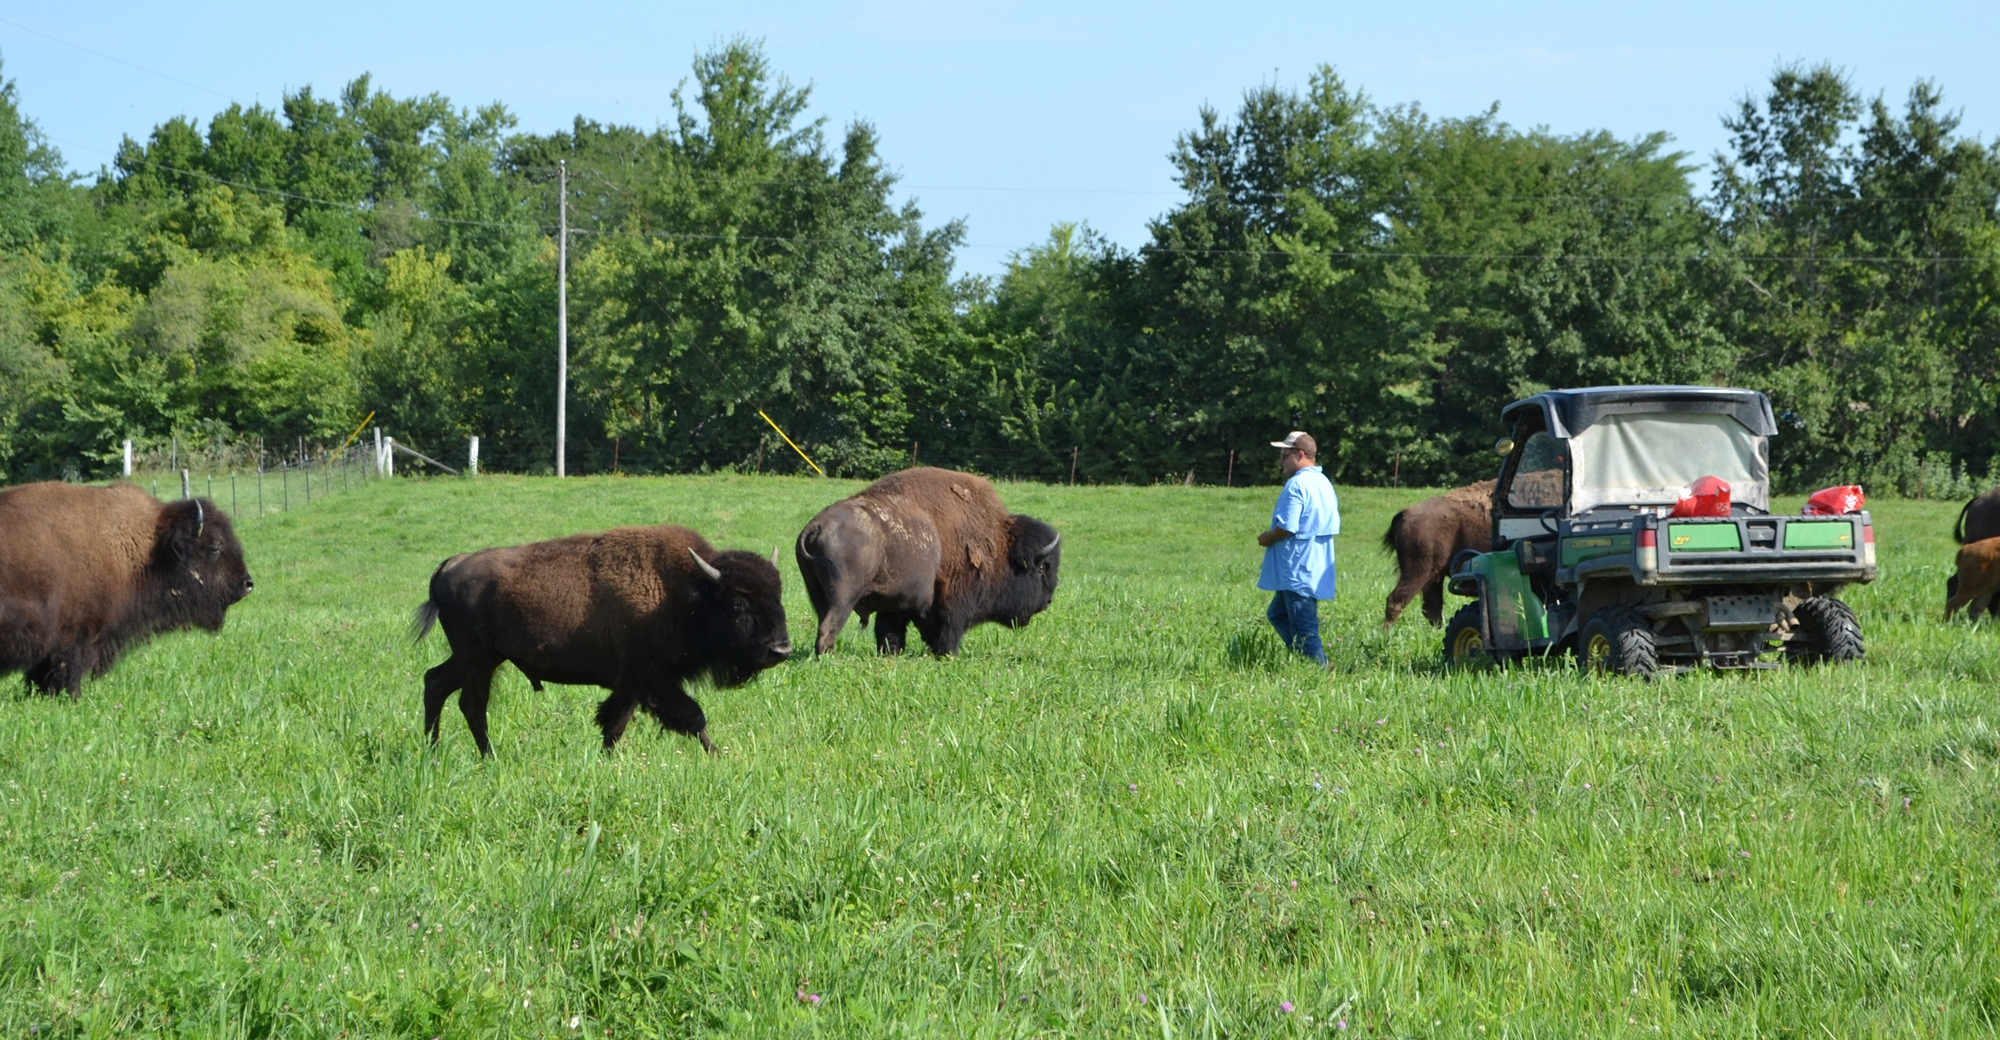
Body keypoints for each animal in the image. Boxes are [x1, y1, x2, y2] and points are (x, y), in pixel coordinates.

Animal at [412, 524, 791, 756]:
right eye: (739, 602)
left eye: (778, 595)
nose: (781, 649)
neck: (683, 592)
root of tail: (449, 565)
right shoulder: (652, 677)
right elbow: (693, 716)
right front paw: (718, 757)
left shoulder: (631, 684)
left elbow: (615, 723)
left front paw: (606, 761)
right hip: (478, 659)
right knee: (472, 704)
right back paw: (490, 757)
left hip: (478, 658)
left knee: (435, 683)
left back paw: (433, 752)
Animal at [796, 467, 1060, 655]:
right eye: (1042, 567)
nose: (1048, 601)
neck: (998, 544)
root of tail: (816, 526)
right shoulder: (952, 603)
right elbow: (948, 630)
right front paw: (947, 654)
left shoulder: (895, 604)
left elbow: (890, 631)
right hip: (843, 598)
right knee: (829, 625)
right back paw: (828, 655)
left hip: (817, 593)